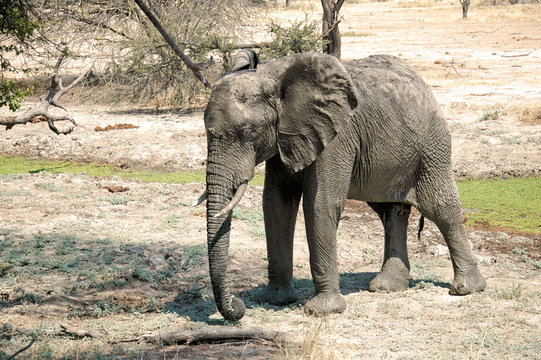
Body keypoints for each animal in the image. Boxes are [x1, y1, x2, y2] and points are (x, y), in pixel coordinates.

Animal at [199, 51, 486, 320]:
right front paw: (275, 300)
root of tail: (424, 85)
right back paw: (387, 287)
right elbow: (276, 204)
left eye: (248, 132)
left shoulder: (336, 135)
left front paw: (322, 311)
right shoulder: (285, 138)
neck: (274, 76)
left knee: (441, 208)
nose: (238, 305)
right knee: (392, 212)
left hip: (431, 148)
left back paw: (466, 289)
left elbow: (320, 204)